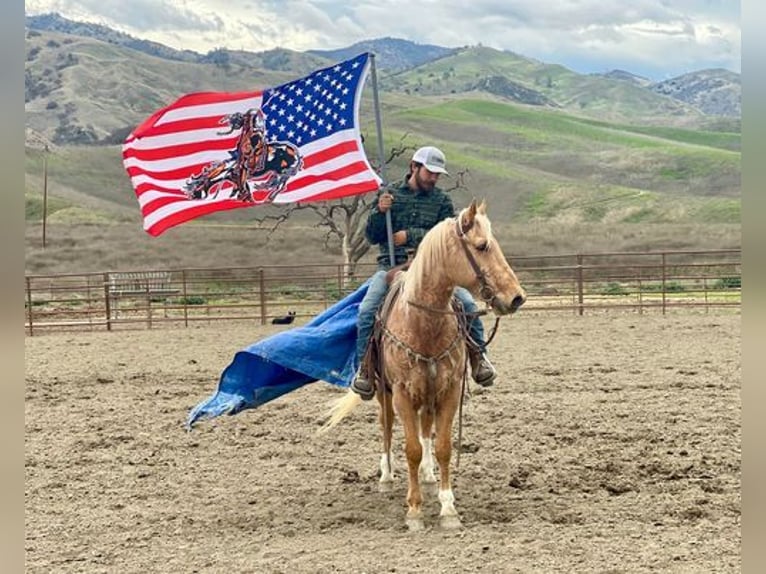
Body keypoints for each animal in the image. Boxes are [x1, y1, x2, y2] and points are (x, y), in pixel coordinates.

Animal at [324, 200, 528, 532]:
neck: (423, 324)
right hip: (383, 392)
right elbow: (412, 449)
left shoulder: (449, 391)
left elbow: (442, 445)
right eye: (482, 246)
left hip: (429, 394)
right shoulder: (403, 394)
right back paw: (386, 476)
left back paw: (429, 477)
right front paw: (414, 511)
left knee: (426, 429)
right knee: (387, 427)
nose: (516, 297)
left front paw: (448, 508)